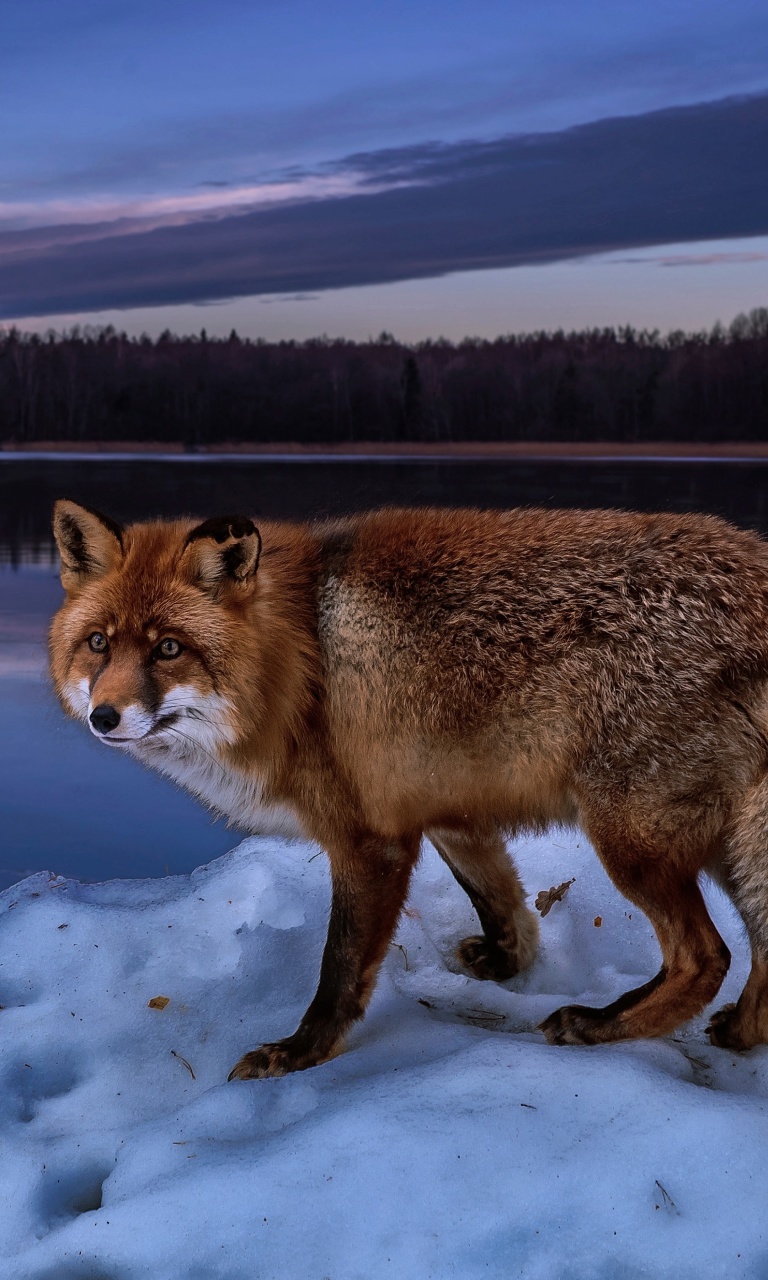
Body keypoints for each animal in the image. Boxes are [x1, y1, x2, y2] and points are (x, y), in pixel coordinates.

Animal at [49, 499, 768, 1080]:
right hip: (720, 844)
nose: (104, 717)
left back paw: (599, 1026)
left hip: (633, 843)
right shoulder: (444, 805)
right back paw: (740, 1031)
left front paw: (300, 1054)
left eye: (169, 648)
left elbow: (339, 970)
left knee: (707, 959)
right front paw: (507, 964)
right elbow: (499, 899)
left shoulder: (370, 842)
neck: (300, 661)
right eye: (98, 644)